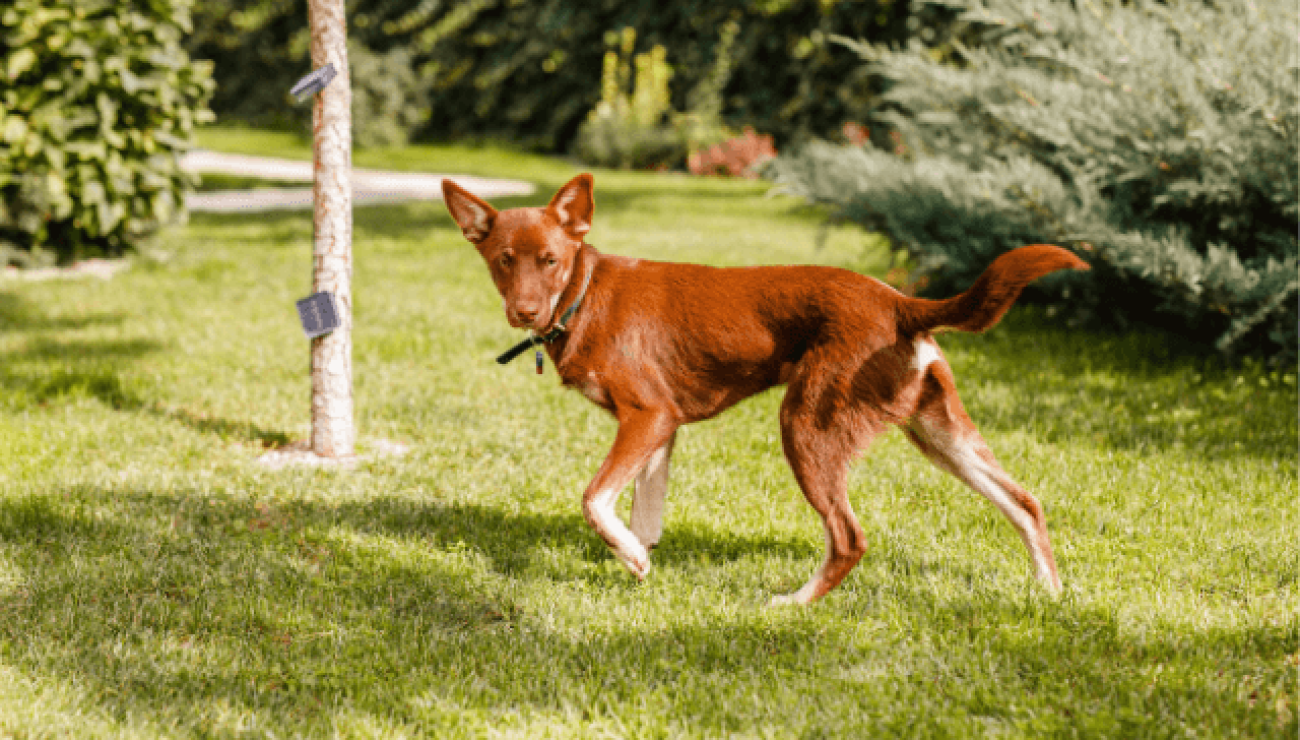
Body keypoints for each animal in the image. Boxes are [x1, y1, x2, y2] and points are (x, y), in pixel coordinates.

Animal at [441, 175, 1081, 603]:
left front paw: (629, 558)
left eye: (550, 260)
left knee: (848, 539)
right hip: (938, 433)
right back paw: (1049, 593)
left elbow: (594, 499)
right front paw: (638, 563)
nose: (524, 312)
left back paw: (793, 605)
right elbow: (644, 515)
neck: (585, 293)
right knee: (1025, 502)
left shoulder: (647, 416)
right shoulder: (662, 429)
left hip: (806, 425)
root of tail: (900, 301)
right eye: (504, 260)